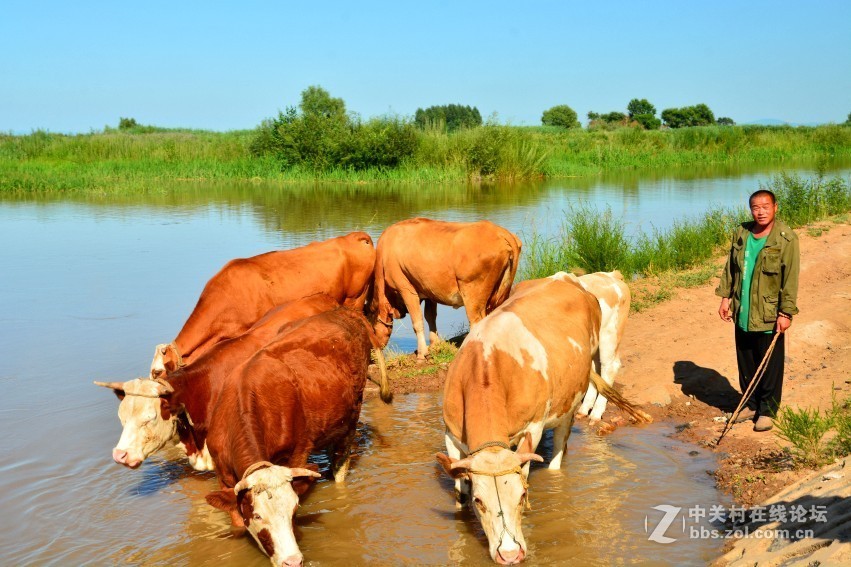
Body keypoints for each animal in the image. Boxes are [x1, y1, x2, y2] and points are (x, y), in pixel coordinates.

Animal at [201, 308, 378, 567]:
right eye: (257, 516)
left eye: (294, 510)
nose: (293, 561)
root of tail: (343, 313)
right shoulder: (222, 475)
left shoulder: (297, 452)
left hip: (353, 415)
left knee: (340, 463)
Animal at [372, 219, 524, 360]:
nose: (373, 355)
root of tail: (499, 231)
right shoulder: (429, 290)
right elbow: (430, 317)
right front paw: (434, 345)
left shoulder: (406, 289)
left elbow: (417, 321)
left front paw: (422, 353)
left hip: (473, 294)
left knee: (477, 322)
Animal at [436, 274, 648, 564]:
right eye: (479, 501)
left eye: (522, 495)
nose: (510, 555)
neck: (487, 365)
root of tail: (568, 277)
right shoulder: (451, 433)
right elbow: (459, 490)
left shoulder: (533, 427)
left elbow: (525, 470)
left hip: (581, 381)